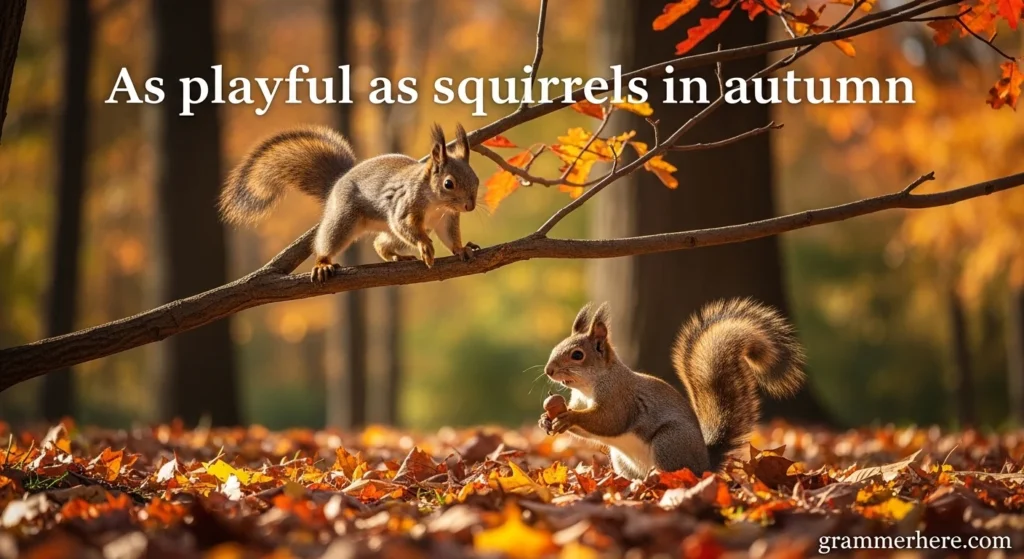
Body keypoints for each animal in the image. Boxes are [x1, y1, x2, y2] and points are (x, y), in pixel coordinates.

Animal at [219, 123, 480, 282]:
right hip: (344, 219)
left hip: (385, 232)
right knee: (328, 241)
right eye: (448, 183)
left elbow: (450, 236)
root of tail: (337, 182)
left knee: (379, 243)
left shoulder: (446, 219)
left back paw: (397, 256)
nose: (470, 207)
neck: (437, 203)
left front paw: (461, 249)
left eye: (476, 180)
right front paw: (425, 246)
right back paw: (323, 263)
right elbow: (405, 226)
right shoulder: (405, 206)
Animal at [539, 298, 806, 479]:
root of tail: (705, 465)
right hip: (622, 459)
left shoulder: (619, 397)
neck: (588, 387)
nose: (548, 370)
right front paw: (546, 420)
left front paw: (569, 417)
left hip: (669, 443)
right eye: (557, 346)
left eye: (577, 355)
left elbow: (609, 421)